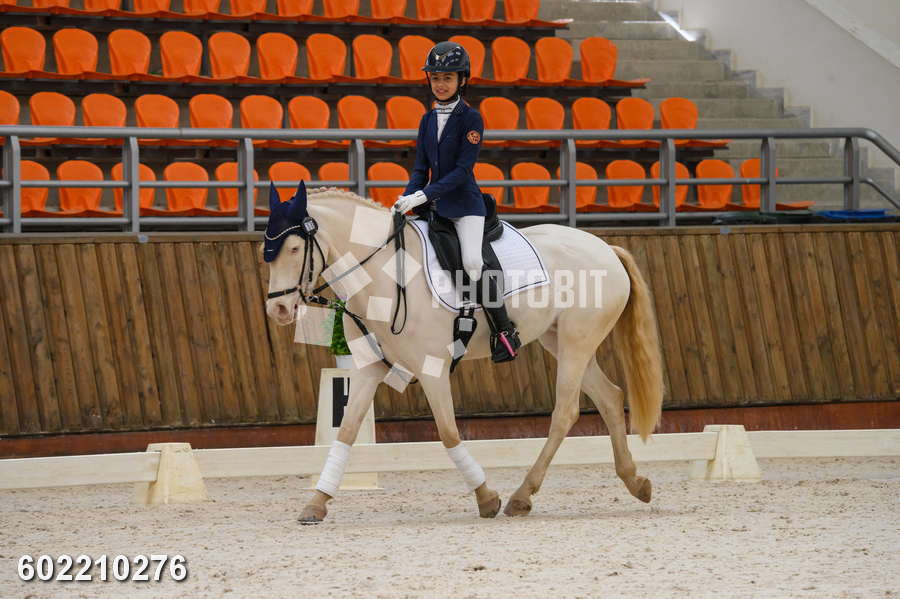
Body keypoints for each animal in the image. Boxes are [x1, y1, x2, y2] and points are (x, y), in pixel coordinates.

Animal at [264, 184, 664, 523]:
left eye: (295, 249)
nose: (278, 310)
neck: (385, 273)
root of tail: (605, 248)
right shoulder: (368, 369)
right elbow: (345, 432)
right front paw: (316, 503)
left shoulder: (432, 370)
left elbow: (448, 433)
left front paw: (487, 498)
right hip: (561, 340)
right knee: (609, 397)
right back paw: (635, 482)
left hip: (576, 342)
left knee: (565, 413)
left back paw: (522, 496)